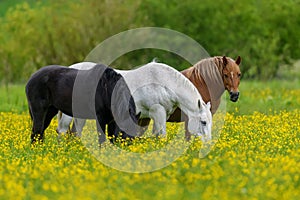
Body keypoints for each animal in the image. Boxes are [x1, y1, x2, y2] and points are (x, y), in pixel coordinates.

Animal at [55, 61, 211, 141]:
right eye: (203, 122)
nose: (208, 143)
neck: (163, 83)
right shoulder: (158, 113)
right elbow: (162, 136)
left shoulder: (160, 115)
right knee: (63, 130)